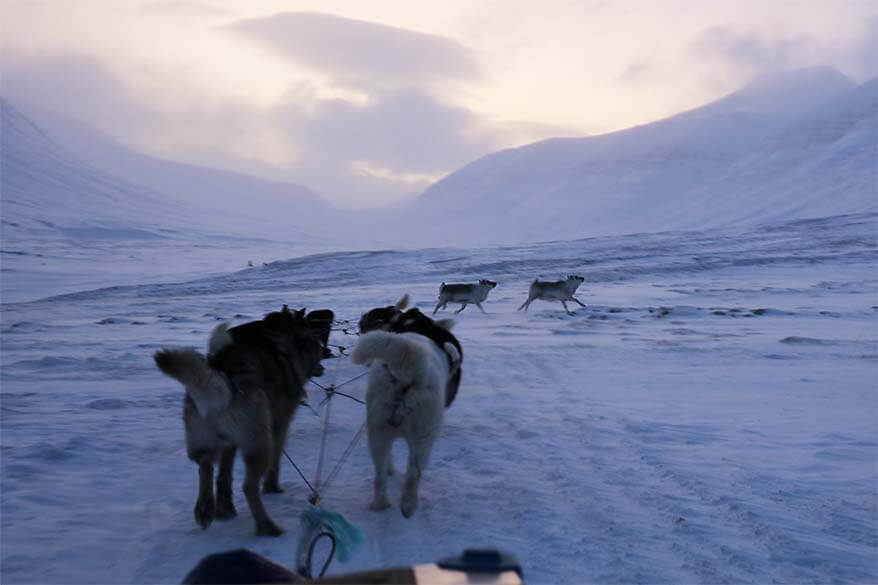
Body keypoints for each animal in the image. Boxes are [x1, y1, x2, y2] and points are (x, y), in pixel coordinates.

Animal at [153, 304, 332, 536]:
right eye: (316, 345)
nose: (322, 365)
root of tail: (224, 378)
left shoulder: (230, 442)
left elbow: (224, 475)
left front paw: (224, 508)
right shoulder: (279, 426)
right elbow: (275, 464)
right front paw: (272, 488)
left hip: (203, 440)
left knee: (205, 465)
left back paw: (205, 509)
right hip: (260, 444)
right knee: (248, 486)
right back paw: (267, 526)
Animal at [352, 318, 460, 516]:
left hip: (378, 433)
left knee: (379, 476)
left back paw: (381, 504)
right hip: (423, 437)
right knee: (413, 474)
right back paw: (408, 507)